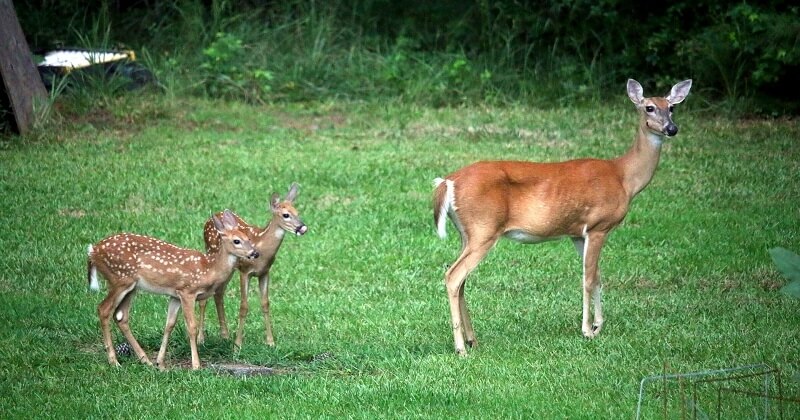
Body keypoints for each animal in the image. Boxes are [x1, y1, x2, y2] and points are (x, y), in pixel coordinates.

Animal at [88, 210, 258, 368]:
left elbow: (169, 325)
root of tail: (93, 251)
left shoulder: (175, 295)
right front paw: (196, 365)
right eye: (237, 241)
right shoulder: (187, 291)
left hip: (131, 286)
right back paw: (114, 361)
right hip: (120, 279)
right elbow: (191, 327)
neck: (208, 270)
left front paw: (160, 363)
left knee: (121, 316)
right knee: (104, 309)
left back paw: (145, 360)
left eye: (249, 238)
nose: (255, 253)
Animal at [197, 182, 306, 350]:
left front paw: (270, 342)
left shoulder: (264, 272)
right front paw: (237, 345)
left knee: (219, 293)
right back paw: (201, 339)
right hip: (211, 253)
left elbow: (265, 304)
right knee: (205, 298)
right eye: (286, 215)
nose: (302, 227)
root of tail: (209, 220)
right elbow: (244, 306)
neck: (262, 247)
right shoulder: (245, 271)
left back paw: (225, 335)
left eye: (297, 212)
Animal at [434, 79, 692, 354]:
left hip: (468, 233)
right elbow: (588, 278)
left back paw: (473, 340)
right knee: (454, 276)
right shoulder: (598, 226)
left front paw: (598, 326)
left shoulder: (577, 234)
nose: (671, 128)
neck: (623, 177)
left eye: (672, 107)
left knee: (460, 278)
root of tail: (448, 182)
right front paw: (588, 330)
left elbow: (597, 276)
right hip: (484, 229)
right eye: (649, 107)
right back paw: (461, 348)